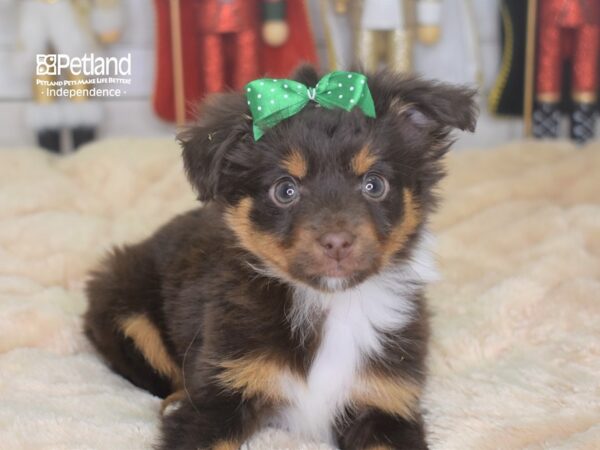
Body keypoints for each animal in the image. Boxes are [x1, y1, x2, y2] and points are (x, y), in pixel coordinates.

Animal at [85, 64, 478, 450]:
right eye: (285, 190)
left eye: (374, 184)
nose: (337, 242)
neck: (328, 304)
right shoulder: (222, 393)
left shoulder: (386, 403)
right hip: (126, 310)